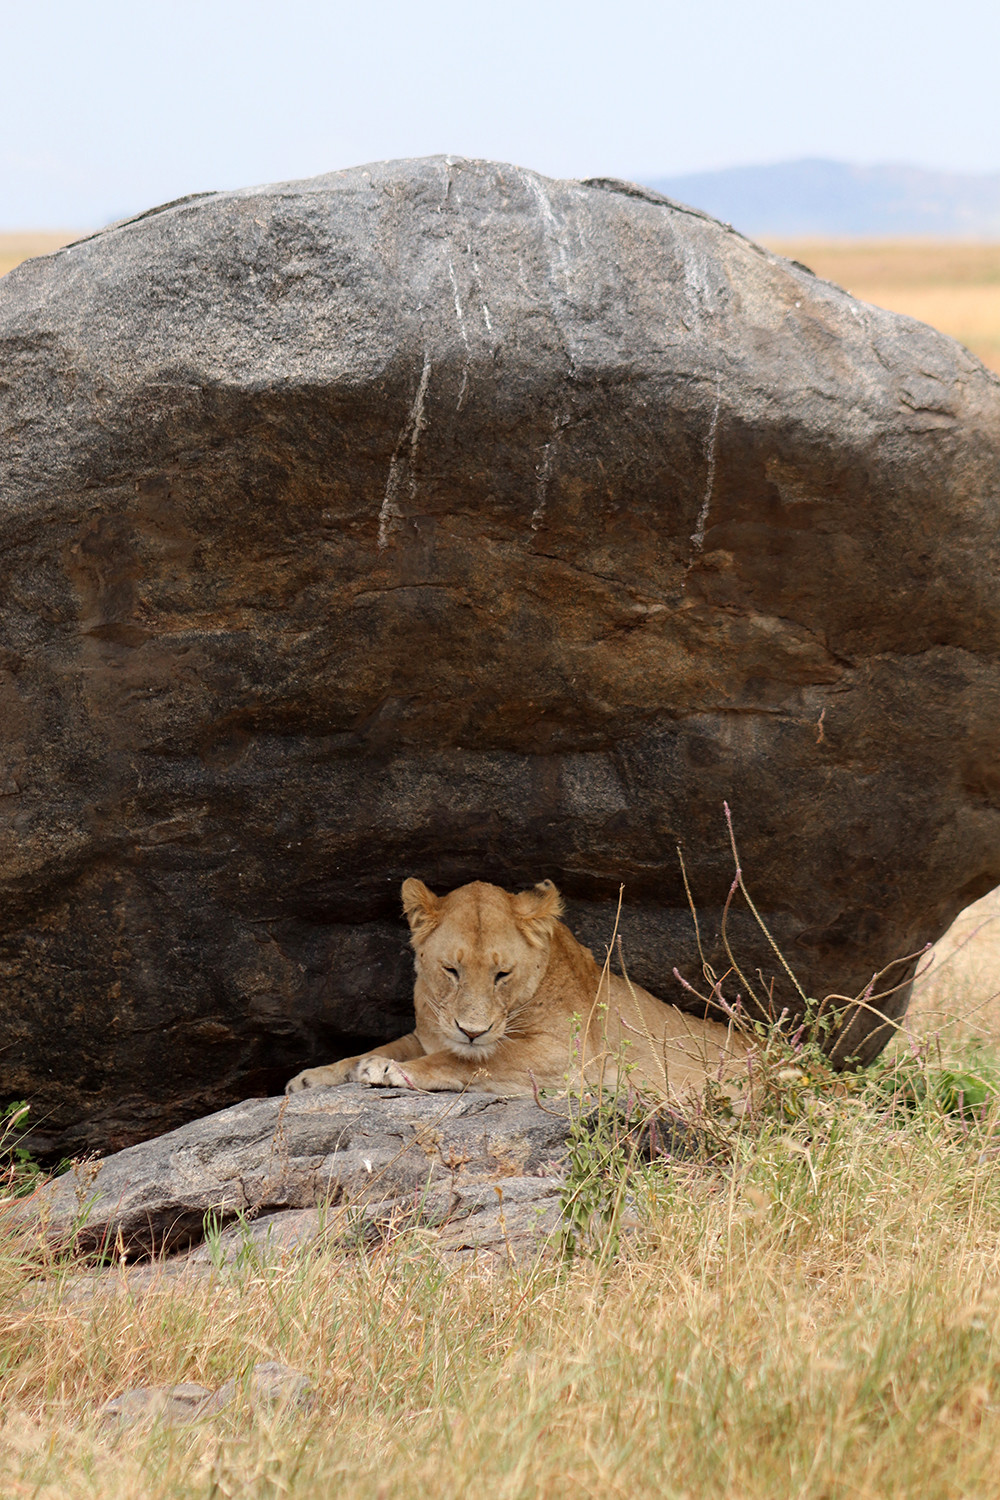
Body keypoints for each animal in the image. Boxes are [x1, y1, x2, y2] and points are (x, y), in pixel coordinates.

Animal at [285, 877, 753, 1101]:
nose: (471, 1030)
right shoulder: (425, 1034)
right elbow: (370, 1050)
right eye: (451, 970)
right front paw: (312, 1078)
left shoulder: (565, 1055)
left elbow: (468, 1060)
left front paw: (389, 1070)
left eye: (502, 974)